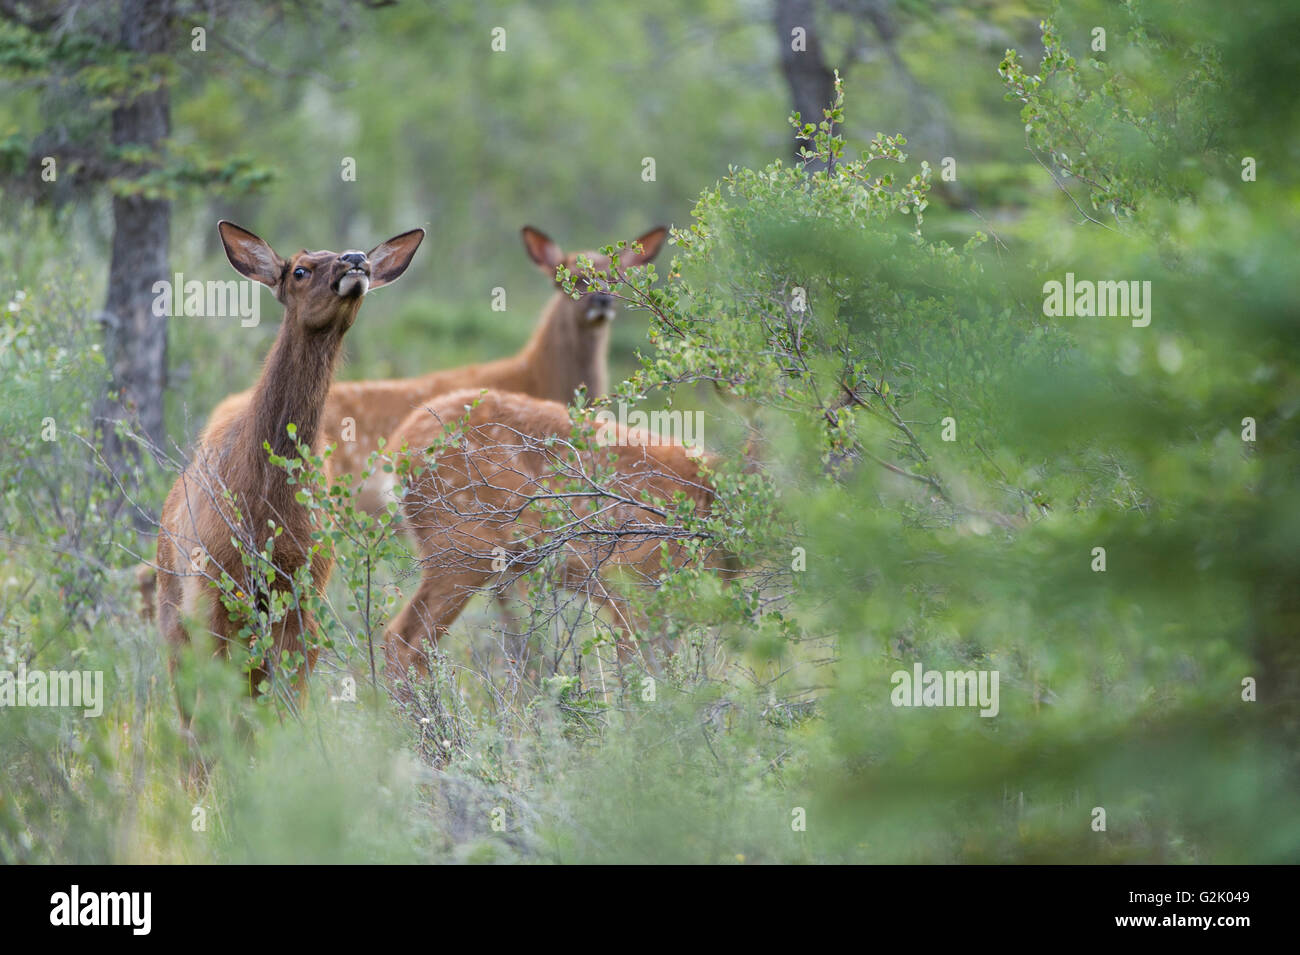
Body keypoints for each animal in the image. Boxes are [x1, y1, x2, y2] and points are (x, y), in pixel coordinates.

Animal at [155, 220, 423, 706]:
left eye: (365, 259)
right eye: (299, 269)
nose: (357, 260)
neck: (266, 501)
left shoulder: (304, 596)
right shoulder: (213, 592)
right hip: (173, 614)